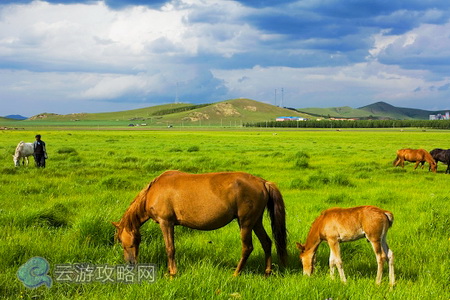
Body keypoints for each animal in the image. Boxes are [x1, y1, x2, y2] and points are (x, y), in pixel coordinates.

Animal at [113, 171, 288, 276]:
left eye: (123, 242)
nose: (130, 264)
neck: (153, 191)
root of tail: (263, 182)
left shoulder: (166, 223)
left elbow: (170, 248)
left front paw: (172, 273)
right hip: (255, 222)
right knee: (266, 242)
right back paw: (267, 272)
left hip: (245, 223)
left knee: (247, 248)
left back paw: (236, 273)